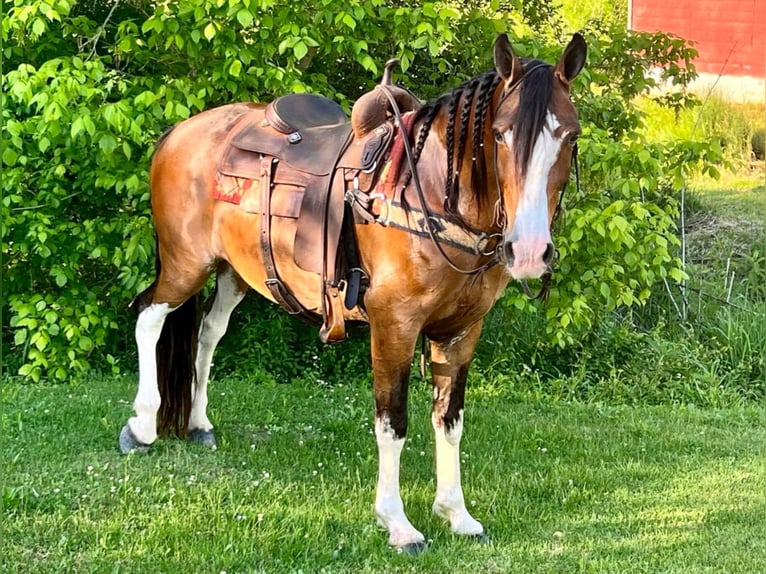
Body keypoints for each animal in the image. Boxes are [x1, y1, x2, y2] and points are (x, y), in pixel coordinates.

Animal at [120, 32, 588, 552]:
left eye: (571, 136)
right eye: (501, 134)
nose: (529, 251)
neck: (426, 197)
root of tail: (177, 133)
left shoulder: (462, 331)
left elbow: (450, 421)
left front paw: (456, 513)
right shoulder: (394, 325)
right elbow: (393, 423)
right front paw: (398, 523)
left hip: (233, 272)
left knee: (208, 333)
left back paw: (198, 423)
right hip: (186, 263)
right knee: (149, 316)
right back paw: (141, 425)